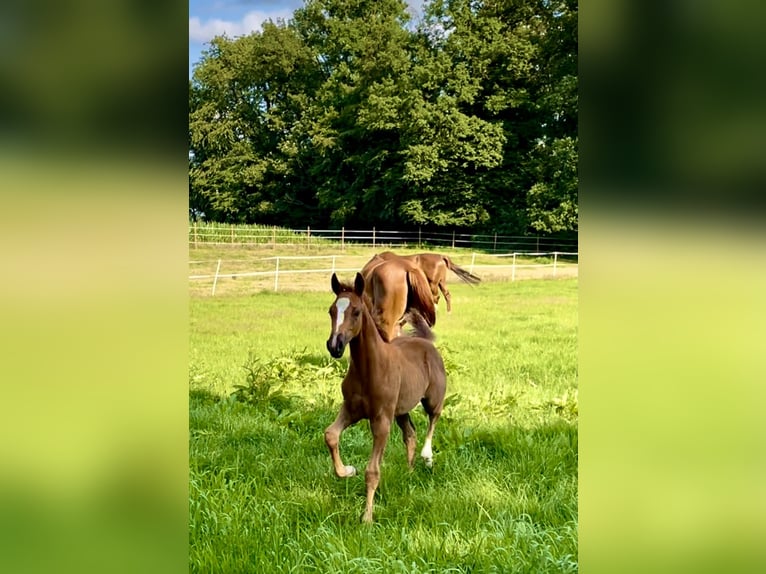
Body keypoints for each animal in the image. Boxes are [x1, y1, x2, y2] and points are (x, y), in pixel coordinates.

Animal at [325, 272, 447, 523]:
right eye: (332, 310)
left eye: (356, 312)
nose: (334, 346)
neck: (369, 369)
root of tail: (426, 342)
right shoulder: (351, 410)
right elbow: (331, 435)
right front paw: (347, 471)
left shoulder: (381, 420)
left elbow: (372, 471)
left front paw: (367, 518)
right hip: (401, 411)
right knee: (410, 435)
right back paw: (409, 472)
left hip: (431, 399)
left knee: (433, 418)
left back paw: (427, 457)